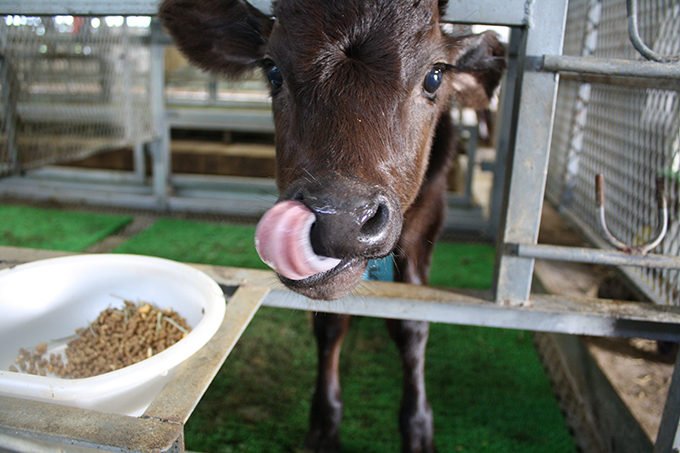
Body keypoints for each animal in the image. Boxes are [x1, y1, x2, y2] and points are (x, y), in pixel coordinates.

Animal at [158, 1, 500, 450]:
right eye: (273, 70)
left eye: (435, 75)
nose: (339, 219)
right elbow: (330, 323)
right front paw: (324, 421)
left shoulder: (428, 220)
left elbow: (412, 321)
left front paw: (418, 425)